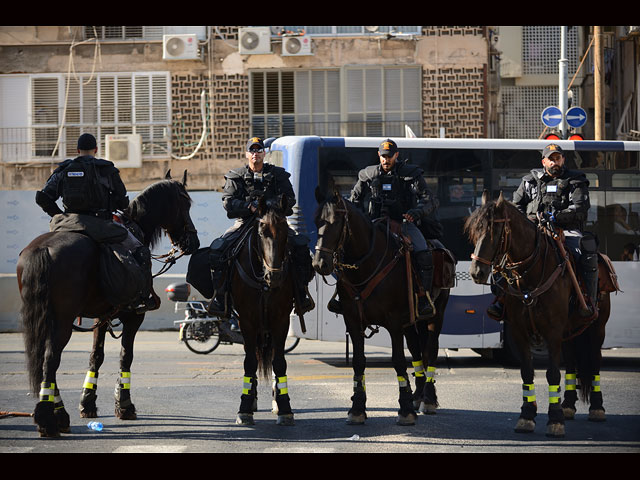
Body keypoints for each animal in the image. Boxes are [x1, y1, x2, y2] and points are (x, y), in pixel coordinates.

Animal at [17, 171, 199, 436]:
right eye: (186, 203)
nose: (193, 241)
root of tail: (42, 249)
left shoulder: (101, 316)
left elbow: (96, 355)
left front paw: (87, 403)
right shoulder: (134, 316)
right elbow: (126, 355)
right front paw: (124, 405)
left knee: (43, 358)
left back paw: (57, 413)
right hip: (61, 320)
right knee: (50, 359)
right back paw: (48, 418)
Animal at [231, 193, 298, 426]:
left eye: (286, 231)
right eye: (262, 232)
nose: (275, 275)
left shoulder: (281, 320)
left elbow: (279, 362)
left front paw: (284, 407)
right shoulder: (246, 321)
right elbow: (250, 362)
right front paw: (244, 407)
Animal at [312, 188, 452, 424]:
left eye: (336, 222)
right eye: (316, 222)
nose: (320, 263)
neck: (367, 265)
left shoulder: (394, 322)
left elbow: (398, 361)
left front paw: (405, 409)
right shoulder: (353, 321)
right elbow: (359, 362)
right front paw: (357, 408)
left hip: (436, 314)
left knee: (430, 351)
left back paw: (428, 399)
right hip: (411, 323)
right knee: (417, 351)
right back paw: (417, 395)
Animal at [464, 191, 616, 438]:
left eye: (494, 231)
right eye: (474, 232)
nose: (476, 272)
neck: (530, 275)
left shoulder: (552, 332)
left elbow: (552, 374)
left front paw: (554, 421)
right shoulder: (520, 331)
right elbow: (527, 372)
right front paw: (527, 416)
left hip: (597, 328)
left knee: (594, 361)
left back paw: (596, 408)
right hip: (570, 331)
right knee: (571, 362)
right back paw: (568, 405)